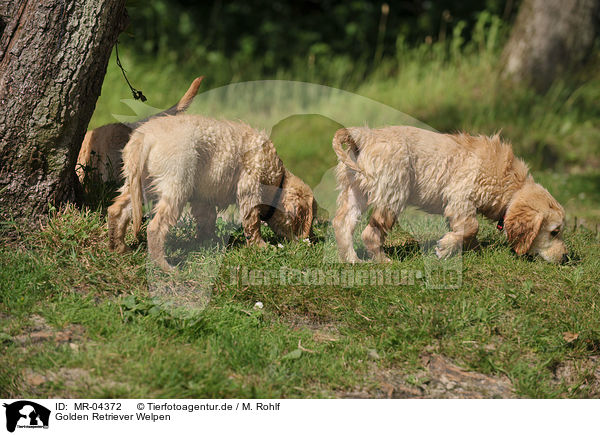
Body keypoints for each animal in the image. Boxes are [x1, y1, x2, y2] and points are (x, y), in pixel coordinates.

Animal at [107, 113, 316, 270]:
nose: (310, 241)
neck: (278, 181)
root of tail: (144, 137)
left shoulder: (203, 198)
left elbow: (207, 220)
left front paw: (209, 243)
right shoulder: (250, 188)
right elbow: (253, 223)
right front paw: (262, 247)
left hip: (140, 183)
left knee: (117, 210)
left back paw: (119, 248)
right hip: (176, 185)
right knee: (155, 228)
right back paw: (165, 267)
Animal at [332, 124, 568, 264]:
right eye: (554, 232)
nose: (566, 257)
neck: (509, 180)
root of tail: (364, 135)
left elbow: (468, 231)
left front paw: (472, 250)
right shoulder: (461, 198)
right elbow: (472, 227)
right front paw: (445, 248)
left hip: (355, 189)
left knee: (342, 222)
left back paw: (352, 259)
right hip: (394, 192)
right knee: (370, 233)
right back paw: (383, 261)